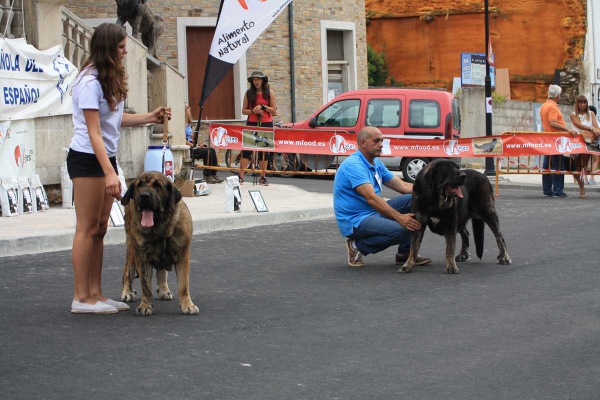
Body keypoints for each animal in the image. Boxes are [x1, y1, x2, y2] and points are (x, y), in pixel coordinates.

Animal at [120, 170, 199, 314]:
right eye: (139, 185)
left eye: (157, 185)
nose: (144, 196)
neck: (159, 226)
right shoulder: (143, 257)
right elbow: (145, 286)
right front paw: (145, 305)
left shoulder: (182, 256)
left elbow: (184, 285)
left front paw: (188, 305)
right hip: (131, 246)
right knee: (128, 268)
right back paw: (127, 292)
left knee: (162, 270)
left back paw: (164, 290)